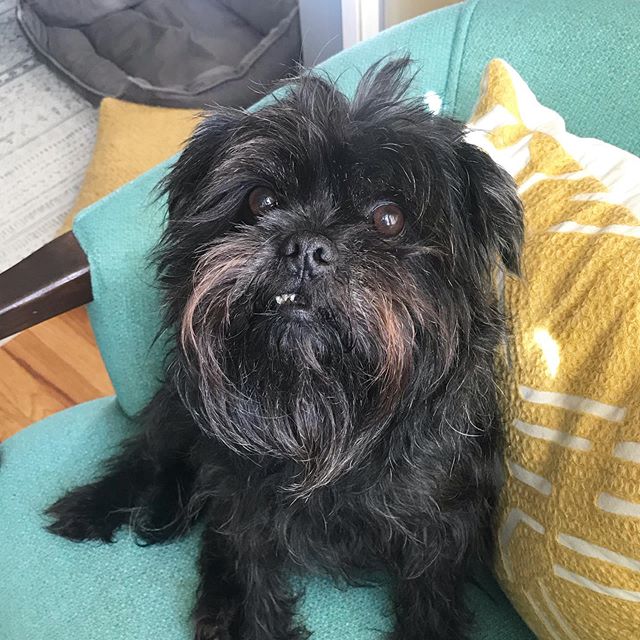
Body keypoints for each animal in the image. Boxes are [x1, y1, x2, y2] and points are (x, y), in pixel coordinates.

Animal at [46, 60, 524, 640]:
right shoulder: (245, 507)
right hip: (180, 410)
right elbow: (250, 575)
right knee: (147, 457)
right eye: (262, 202)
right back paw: (94, 508)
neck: (320, 411)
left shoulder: (441, 523)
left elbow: (430, 599)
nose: (306, 246)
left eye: (388, 219)